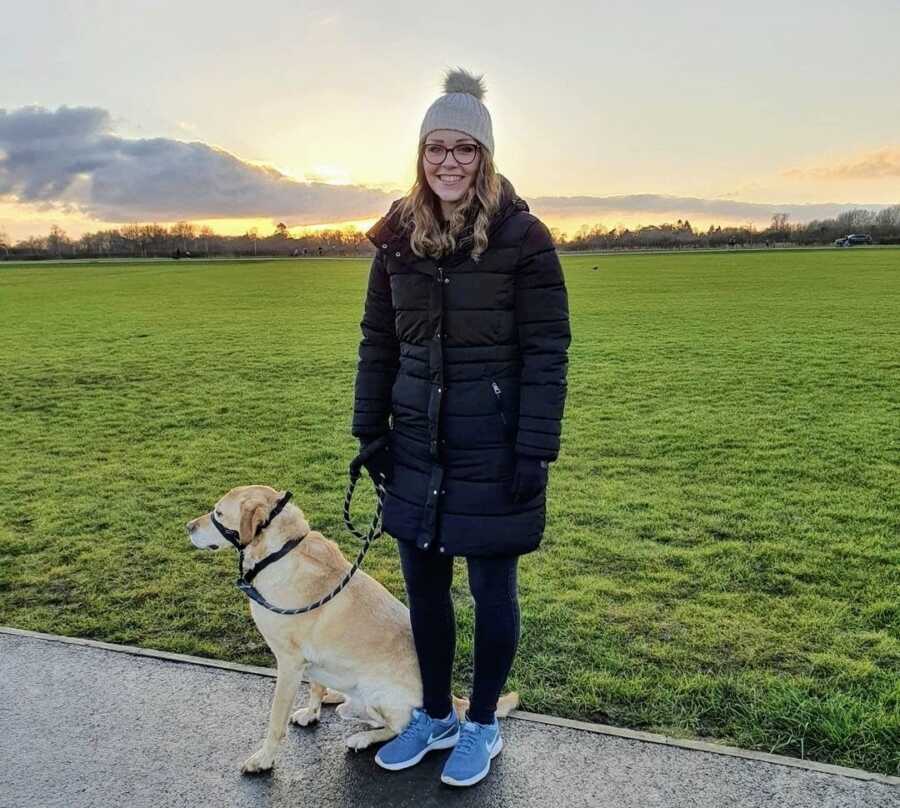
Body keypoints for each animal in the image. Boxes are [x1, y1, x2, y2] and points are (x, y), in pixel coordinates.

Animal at [186, 482, 516, 772]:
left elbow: (275, 720)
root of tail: (452, 699)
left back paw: (364, 738)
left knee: (397, 727)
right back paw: (336, 698)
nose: (188, 526)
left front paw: (263, 759)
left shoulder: (289, 663)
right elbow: (314, 685)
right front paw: (312, 712)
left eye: (218, 513)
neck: (279, 551)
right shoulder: (308, 658)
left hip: (380, 693)